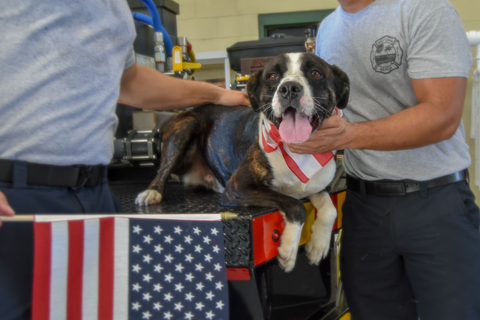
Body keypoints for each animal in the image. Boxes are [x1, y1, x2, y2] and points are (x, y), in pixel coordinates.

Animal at [135, 52, 348, 270]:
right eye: (272, 76)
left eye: (315, 73)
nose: (289, 88)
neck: (299, 152)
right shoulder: (238, 186)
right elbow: (296, 205)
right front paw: (288, 249)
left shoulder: (319, 187)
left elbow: (330, 209)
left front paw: (318, 246)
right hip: (186, 125)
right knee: (163, 170)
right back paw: (152, 192)